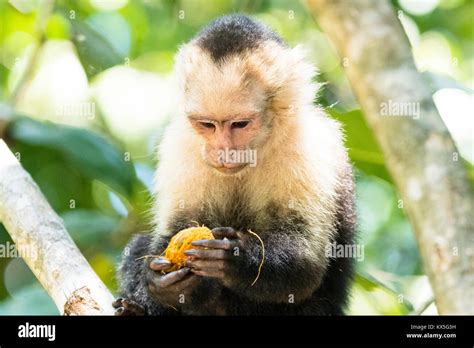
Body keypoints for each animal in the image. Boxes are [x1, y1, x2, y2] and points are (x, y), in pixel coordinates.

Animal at [113, 14, 354, 316]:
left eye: (240, 124)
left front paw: (234, 257)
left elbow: (304, 261)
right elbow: (176, 227)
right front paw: (163, 282)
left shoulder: (309, 145)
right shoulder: (181, 144)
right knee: (138, 246)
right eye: (208, 125)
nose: (223, 151)